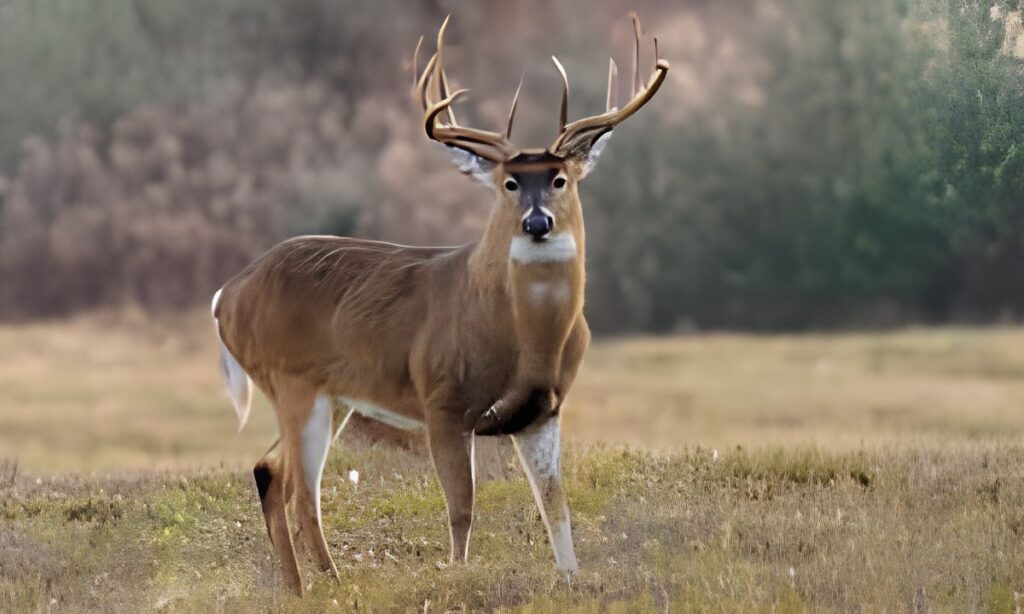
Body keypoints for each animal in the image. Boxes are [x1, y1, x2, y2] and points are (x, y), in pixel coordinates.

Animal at [211, 14, 669, 595]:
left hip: (332, 396)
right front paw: (459, 576)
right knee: (295, 486)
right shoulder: (443, 398)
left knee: (273, 473)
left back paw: (318, 583)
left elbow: (555, 505)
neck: (526, 337)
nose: (537, 222)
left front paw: (571, 579)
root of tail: (225, 296)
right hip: (292, 381)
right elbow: (462, 507)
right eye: (510, 182)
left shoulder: (544, 409)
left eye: (560, 179)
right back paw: (316, 586)